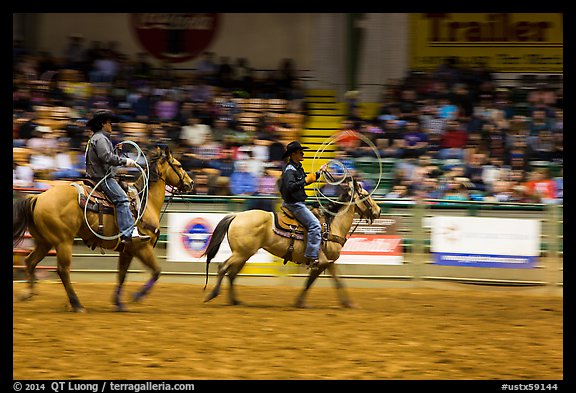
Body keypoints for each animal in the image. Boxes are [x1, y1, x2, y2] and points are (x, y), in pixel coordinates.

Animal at [12, 145, 194, 310]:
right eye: (178, 165)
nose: (190, 183)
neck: (145, 203)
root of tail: (38, 198)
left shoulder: (127, 251)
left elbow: (121, 276)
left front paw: (118, 303)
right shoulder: (142, 247)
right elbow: (156, 272)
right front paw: (136, 297)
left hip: (45, 242)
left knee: (30, 262)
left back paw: (28, 294)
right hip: (63, 241)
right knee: (63, 270)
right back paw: (76, 304)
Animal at [204, 176, 382, 308]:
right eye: (366, 195)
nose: (378, 211)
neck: (332, 225)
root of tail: (236, 216)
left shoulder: (325, 263)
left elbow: (323, 282)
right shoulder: (324, 261)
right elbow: (325, 281)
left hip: (244, 254)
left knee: (231, 273)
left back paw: (235, 301)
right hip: (241, 253)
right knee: (223, 268)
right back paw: (212, 295)